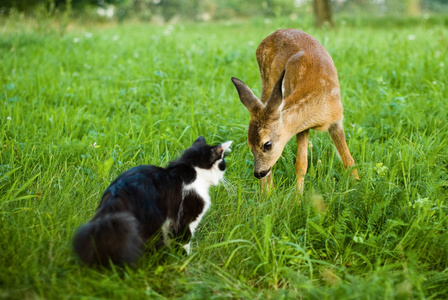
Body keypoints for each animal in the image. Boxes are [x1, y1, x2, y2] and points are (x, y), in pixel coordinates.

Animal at [73, 135, 231, 264]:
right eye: (223, 164)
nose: (225, 172)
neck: (193, 170)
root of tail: (117, 192)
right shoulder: (186, 216)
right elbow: (184, 240)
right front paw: (185, 260)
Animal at [233, 28, 358, 192]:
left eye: (267, 144)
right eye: (249, 144)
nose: (258, 173)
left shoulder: (336, 121)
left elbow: (349, 160)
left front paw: (359, 187)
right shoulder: (302, 128)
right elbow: (301, 164)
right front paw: (298, 197)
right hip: (266, 81)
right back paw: (267, 192)